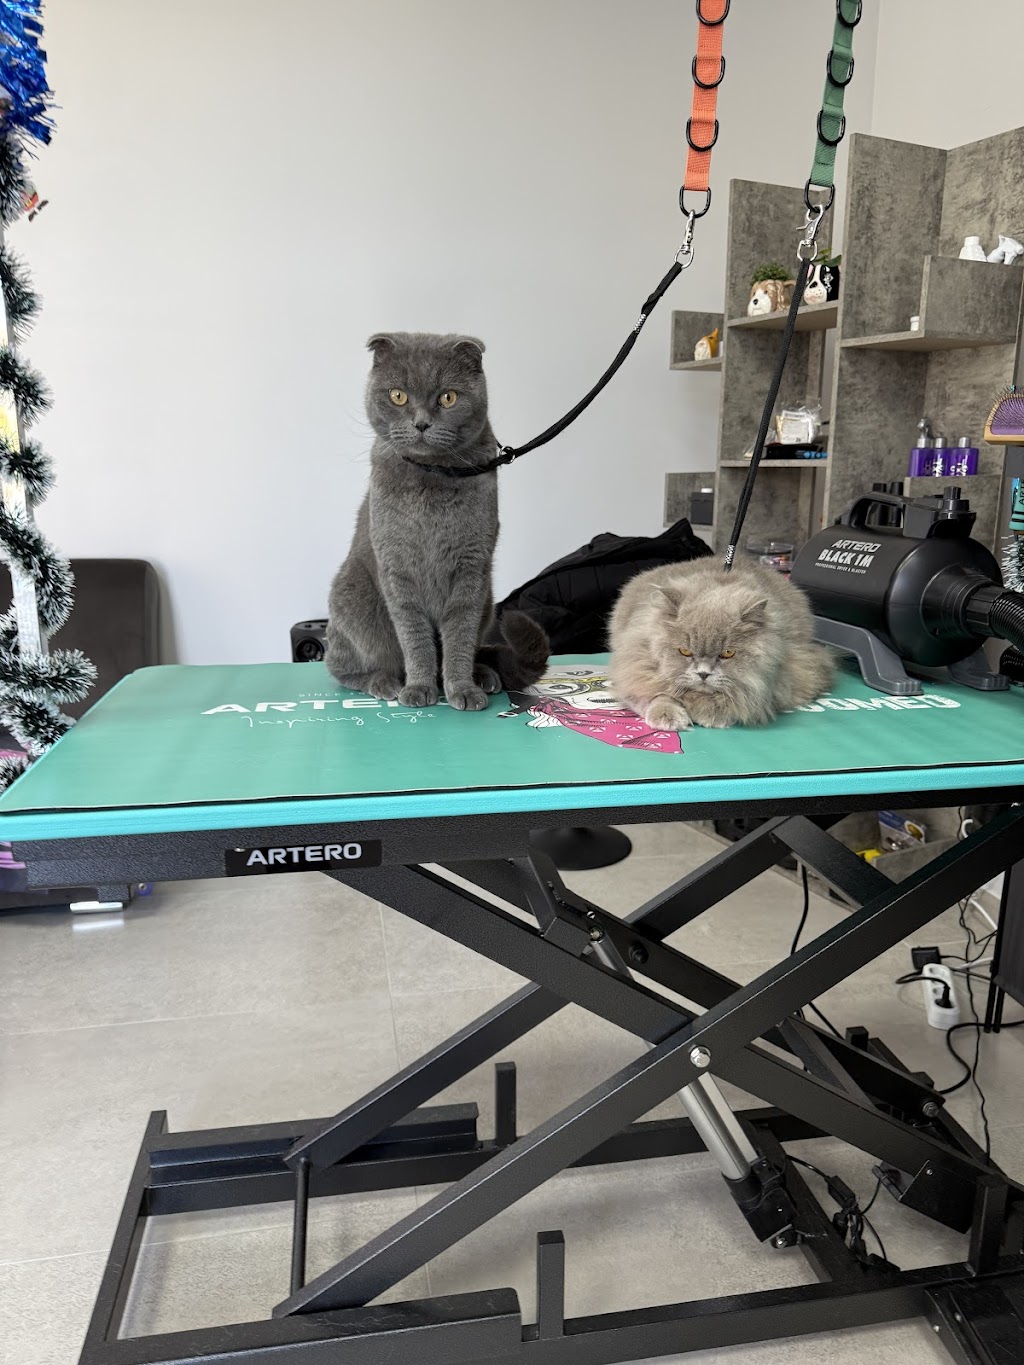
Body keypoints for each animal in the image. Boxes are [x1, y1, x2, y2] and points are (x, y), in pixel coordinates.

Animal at [325, 331, 548, 710]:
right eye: (398, 395)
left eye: (448, 397)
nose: (421, 423)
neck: (431, 478)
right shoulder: (397, 567)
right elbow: (414, 635)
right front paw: (418, 688)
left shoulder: (472, 567)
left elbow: (459, 634)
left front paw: (462, 688)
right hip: (352, 595)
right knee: (343, 667)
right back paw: (383, 682)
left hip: (488, 599)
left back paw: (485, 675)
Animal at [609, 558, 833, 730]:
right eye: (685, 651)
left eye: (727, 653)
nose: (703, 674)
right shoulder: (634, 670)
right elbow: (658, 694)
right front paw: (668, 716)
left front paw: (713, 714)